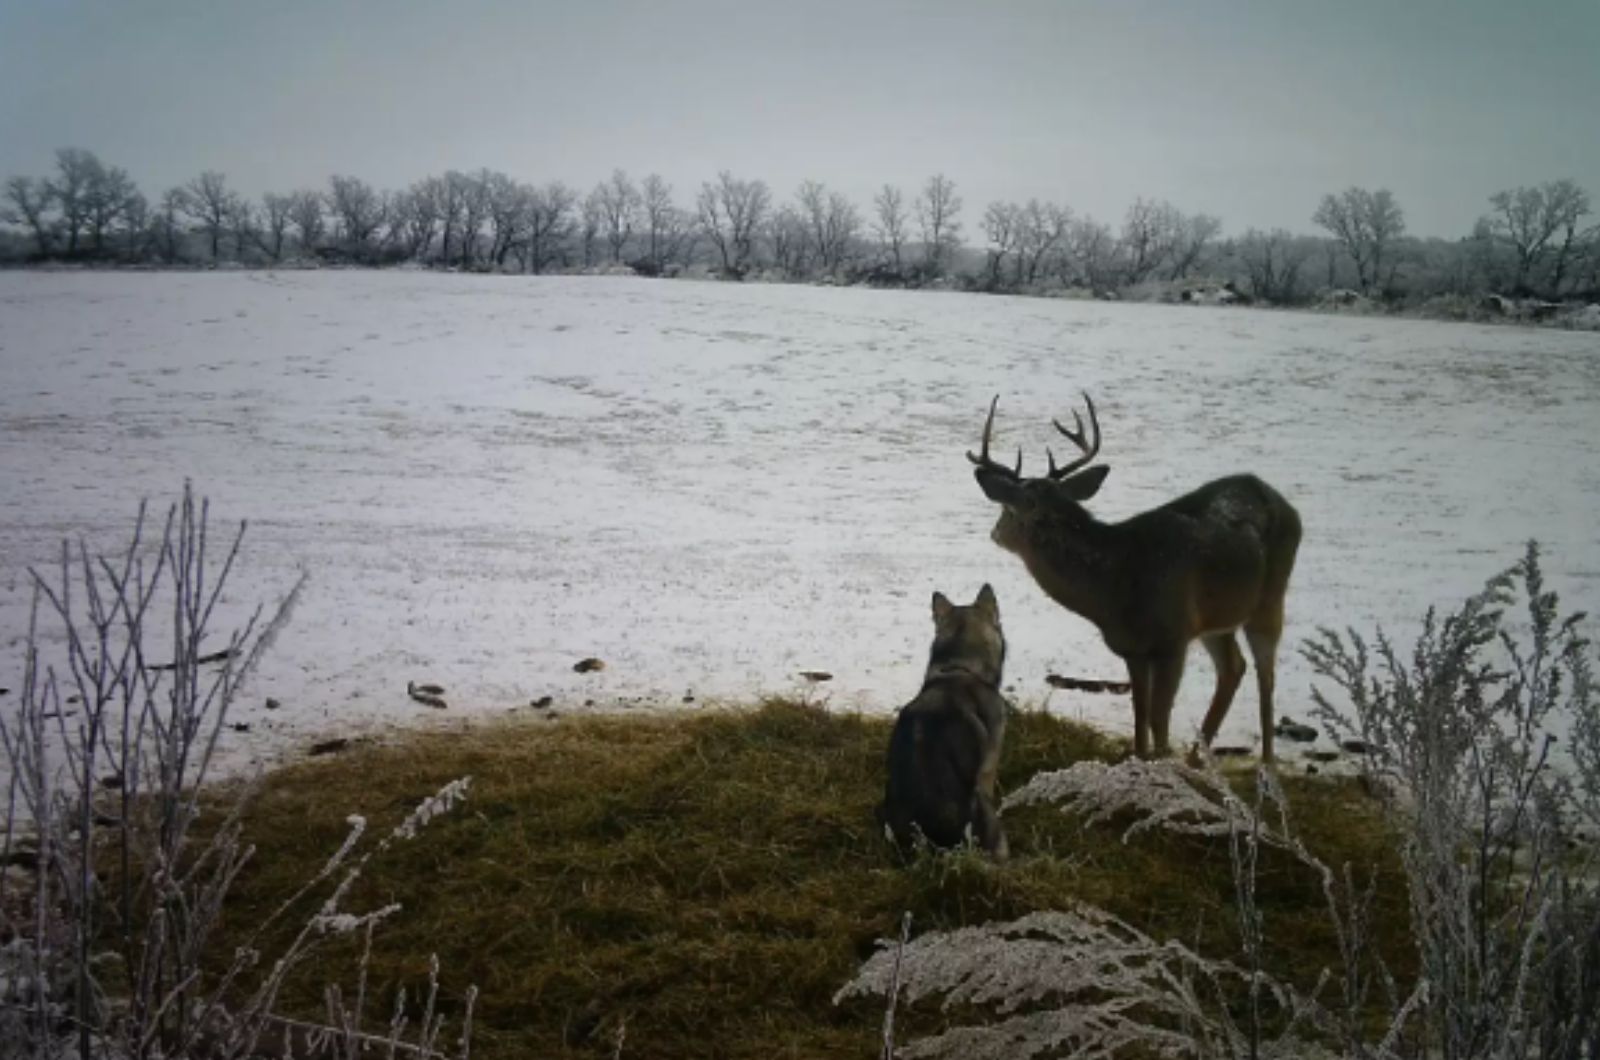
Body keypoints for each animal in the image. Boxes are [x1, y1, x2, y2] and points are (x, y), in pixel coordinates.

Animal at [960, 398, 1299, 765]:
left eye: (1007, 510)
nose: (995, 532)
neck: (1118, 584)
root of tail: (1274, 494)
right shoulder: (1132, 648)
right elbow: (1140, 713)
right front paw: (1141, 758)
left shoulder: (1173, 639)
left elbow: (1158, 716)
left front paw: (1162, 765)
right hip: (1219, 618)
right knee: (1233, 667)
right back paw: (1196, 758)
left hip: (1271, 597)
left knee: (1266, 674)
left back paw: (1266, 762)